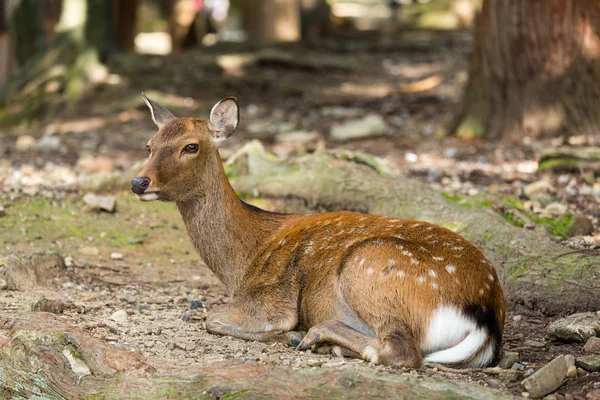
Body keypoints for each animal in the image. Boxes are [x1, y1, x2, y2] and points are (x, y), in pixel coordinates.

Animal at [132, 92, 506, 368]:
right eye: (149, 145)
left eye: (191, 146)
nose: (138, 182)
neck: (241, 262)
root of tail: (485, 315)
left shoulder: (273, 297)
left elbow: (213, 317)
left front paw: (286, 335)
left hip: (368, 265)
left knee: (401, 351)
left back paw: (312, 336)